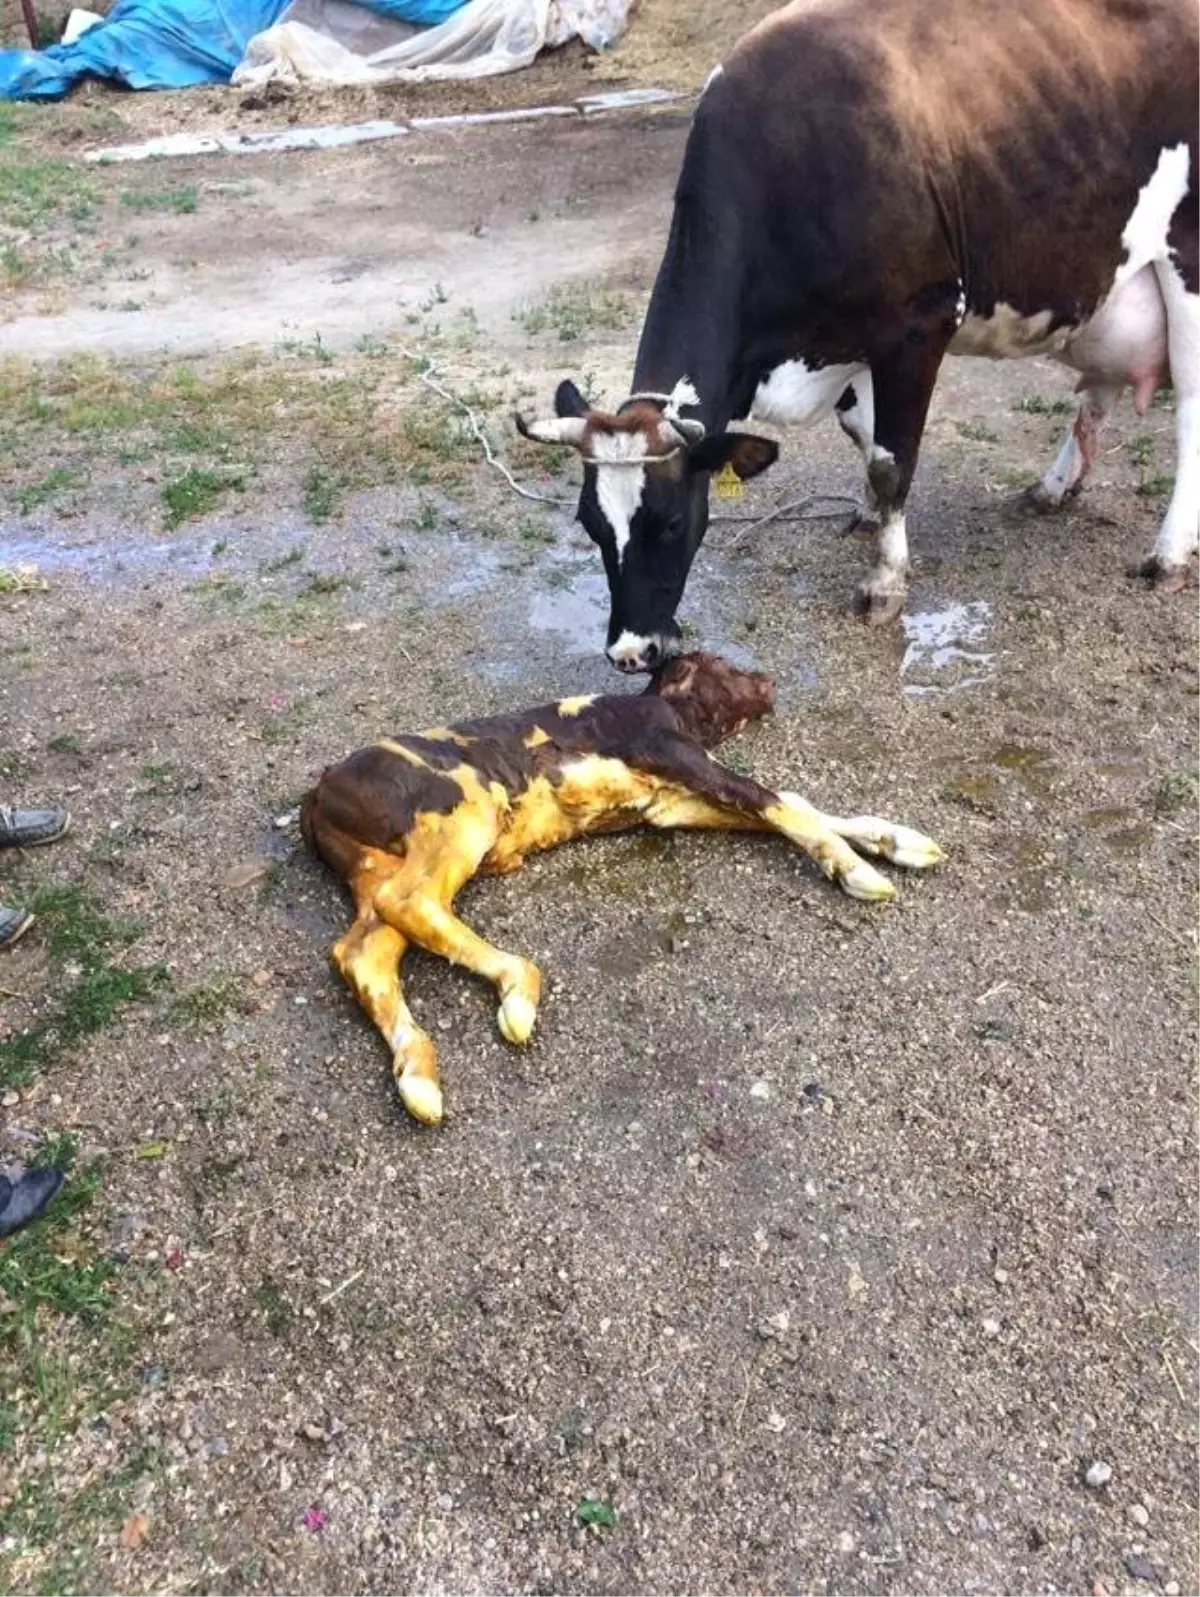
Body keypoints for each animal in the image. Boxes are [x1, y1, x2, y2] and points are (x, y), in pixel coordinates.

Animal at [305, 648, 945, 1124]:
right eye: (723, 665)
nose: (767, 677)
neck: (671, 713)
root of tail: (318, 793)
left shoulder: (672, 804)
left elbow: (787, 807)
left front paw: (901, 842)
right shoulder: (670, 750)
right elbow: (778, 801)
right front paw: (861, 873)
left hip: (382, 868)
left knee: (364, 949)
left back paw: (421, 1082)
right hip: (457, 815)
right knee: (408, 904)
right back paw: (518, 995)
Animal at [517, 0, 1200, 670]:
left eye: (667, 523)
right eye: (591, 525)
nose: (630, 652)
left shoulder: (918, 325)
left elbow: (891, 462)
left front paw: (884, 584)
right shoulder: (849, 345)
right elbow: (864, 433)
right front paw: (874, 520)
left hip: (1187, 267)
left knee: (1190, 410)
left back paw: (1167, 554)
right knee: (1099, 390)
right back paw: (1054, 488)